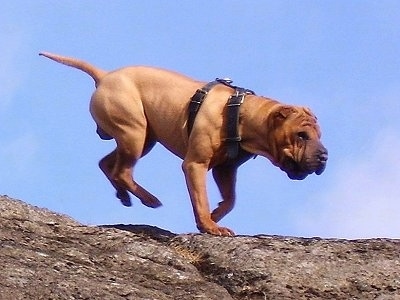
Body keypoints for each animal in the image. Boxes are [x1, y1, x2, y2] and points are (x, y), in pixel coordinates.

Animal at [40, 51, 328, 236]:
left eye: (319, 135)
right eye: (301, 136)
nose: (324, 156)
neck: (242, 114)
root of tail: (105, 75)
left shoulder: (225, 169)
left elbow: (231, 199)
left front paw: (214, 216)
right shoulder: (196, 164)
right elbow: (201, 198)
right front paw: (209, 225)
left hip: (143, 138)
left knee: (108, 165)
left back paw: (125, 195)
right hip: (134, 132)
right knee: (122, 171)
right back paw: (149, 199)